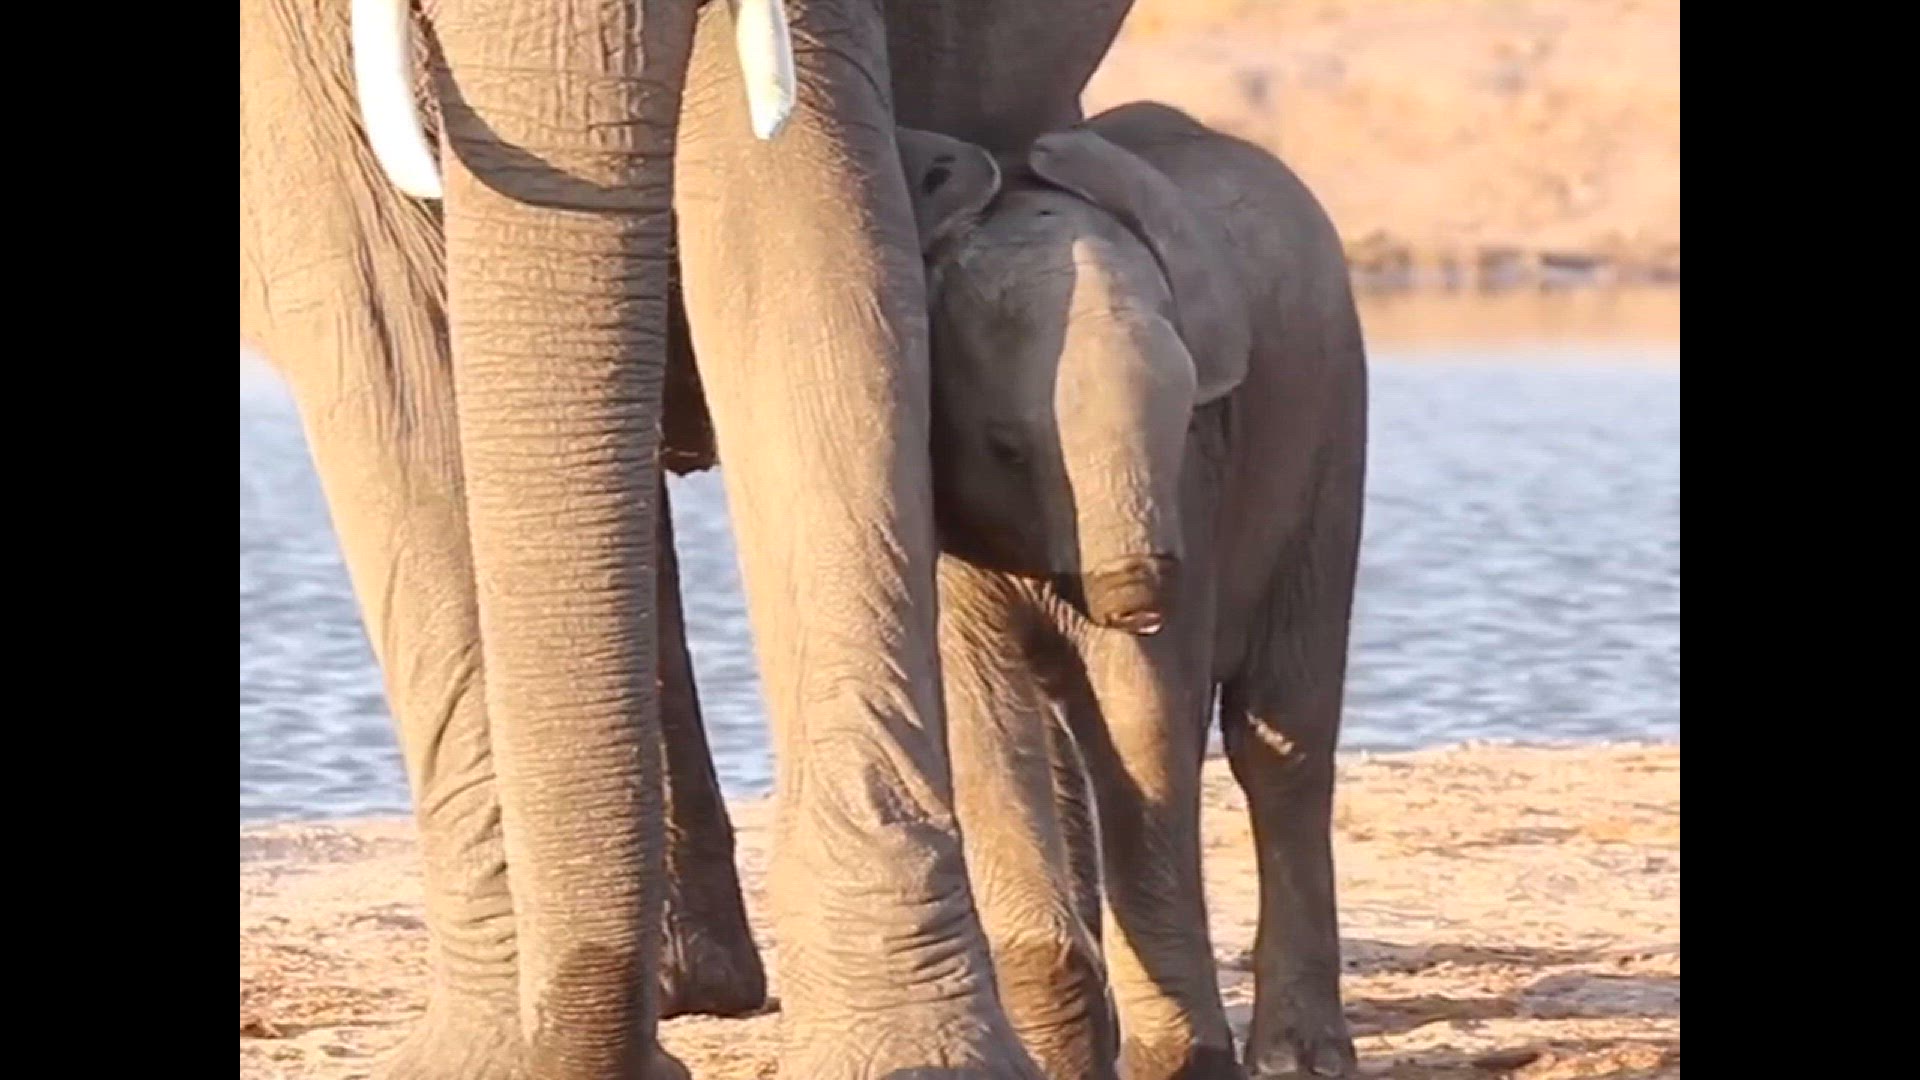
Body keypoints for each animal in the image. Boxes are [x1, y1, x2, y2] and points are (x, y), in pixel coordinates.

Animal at [898, 102, 1367, 1076]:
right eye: (1006, 448)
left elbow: (1143, 714)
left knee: (1282, 741)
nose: (1134, 595)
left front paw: (1176, 1062)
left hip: (1332, 428)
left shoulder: (1190, 483)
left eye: (1190, 414)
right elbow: (984, 719)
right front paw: (1061, 1055)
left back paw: (1298, 1058)